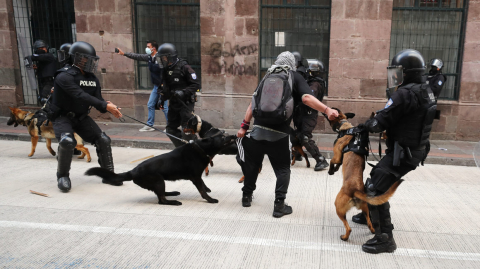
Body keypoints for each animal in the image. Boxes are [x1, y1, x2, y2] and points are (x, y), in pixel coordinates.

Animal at [86, 133, 236, 204]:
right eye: (223, 136)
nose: (234, 135)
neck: (201, 148)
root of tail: (133, 171)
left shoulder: (198, 177)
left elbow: (204, 185)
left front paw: (208, 189)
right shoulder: (195, 177)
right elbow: (202, 192)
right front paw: (210, 199)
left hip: (160, 182)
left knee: (161, 194)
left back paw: (173, 193)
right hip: (158, 180)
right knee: (161, 200)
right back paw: (174, 202)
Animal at [326, 108, 402, 240]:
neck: (346, 126)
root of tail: (355, 190)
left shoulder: (336, 156)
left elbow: (332, 161)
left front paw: (330, 171)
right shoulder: (339, 159)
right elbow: (338, 164)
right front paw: (335, 170)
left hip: (338, 207)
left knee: (349, 228)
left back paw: (345, 237)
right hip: (365, 209)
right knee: (370, 223)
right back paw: (372, 231)